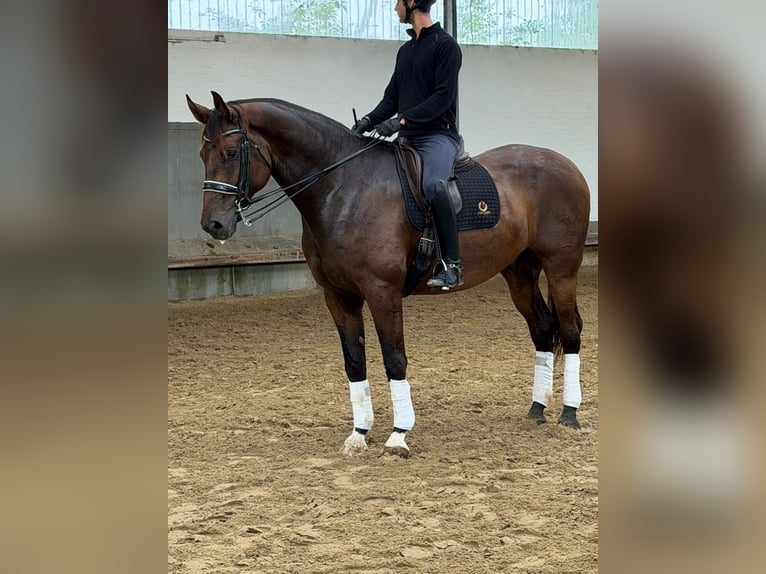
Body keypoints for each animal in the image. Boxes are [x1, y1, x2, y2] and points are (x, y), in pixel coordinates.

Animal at [185, 91, 590, 458]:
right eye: (203, 155)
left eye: (231, 153)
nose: (213, 225)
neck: (342, 188)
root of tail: (565, 163)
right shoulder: (338, 295)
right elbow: (354, 361)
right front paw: (359, 434)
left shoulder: (382, 291)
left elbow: (394, 358)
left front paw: (398, 436)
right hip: (519, 272)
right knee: (542, 328)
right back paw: (537, 409)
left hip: (561, 268)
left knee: (570, 330)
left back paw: (569, 414)